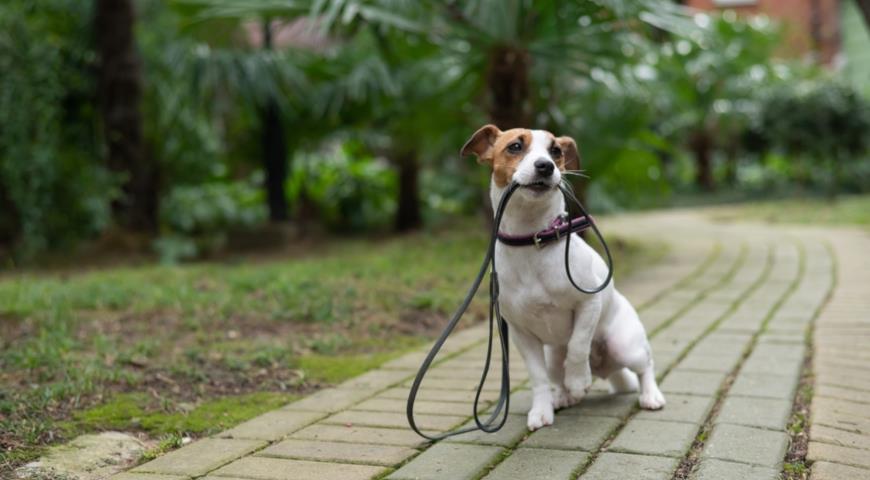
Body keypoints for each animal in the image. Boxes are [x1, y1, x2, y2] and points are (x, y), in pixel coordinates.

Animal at [464, 124, 668, 432]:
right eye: (515, 146)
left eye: (556, 151)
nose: (545, 166)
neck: (532, 240)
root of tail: (605, 368)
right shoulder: (521, 332)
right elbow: (537, 377)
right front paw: (541, 409)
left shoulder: (588, 304)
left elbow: (578, 345)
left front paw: (578, 379)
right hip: (552, 357)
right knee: (555, 377)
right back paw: (562, 397)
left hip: (626, 346)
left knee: (646, 367)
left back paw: (649, 395)